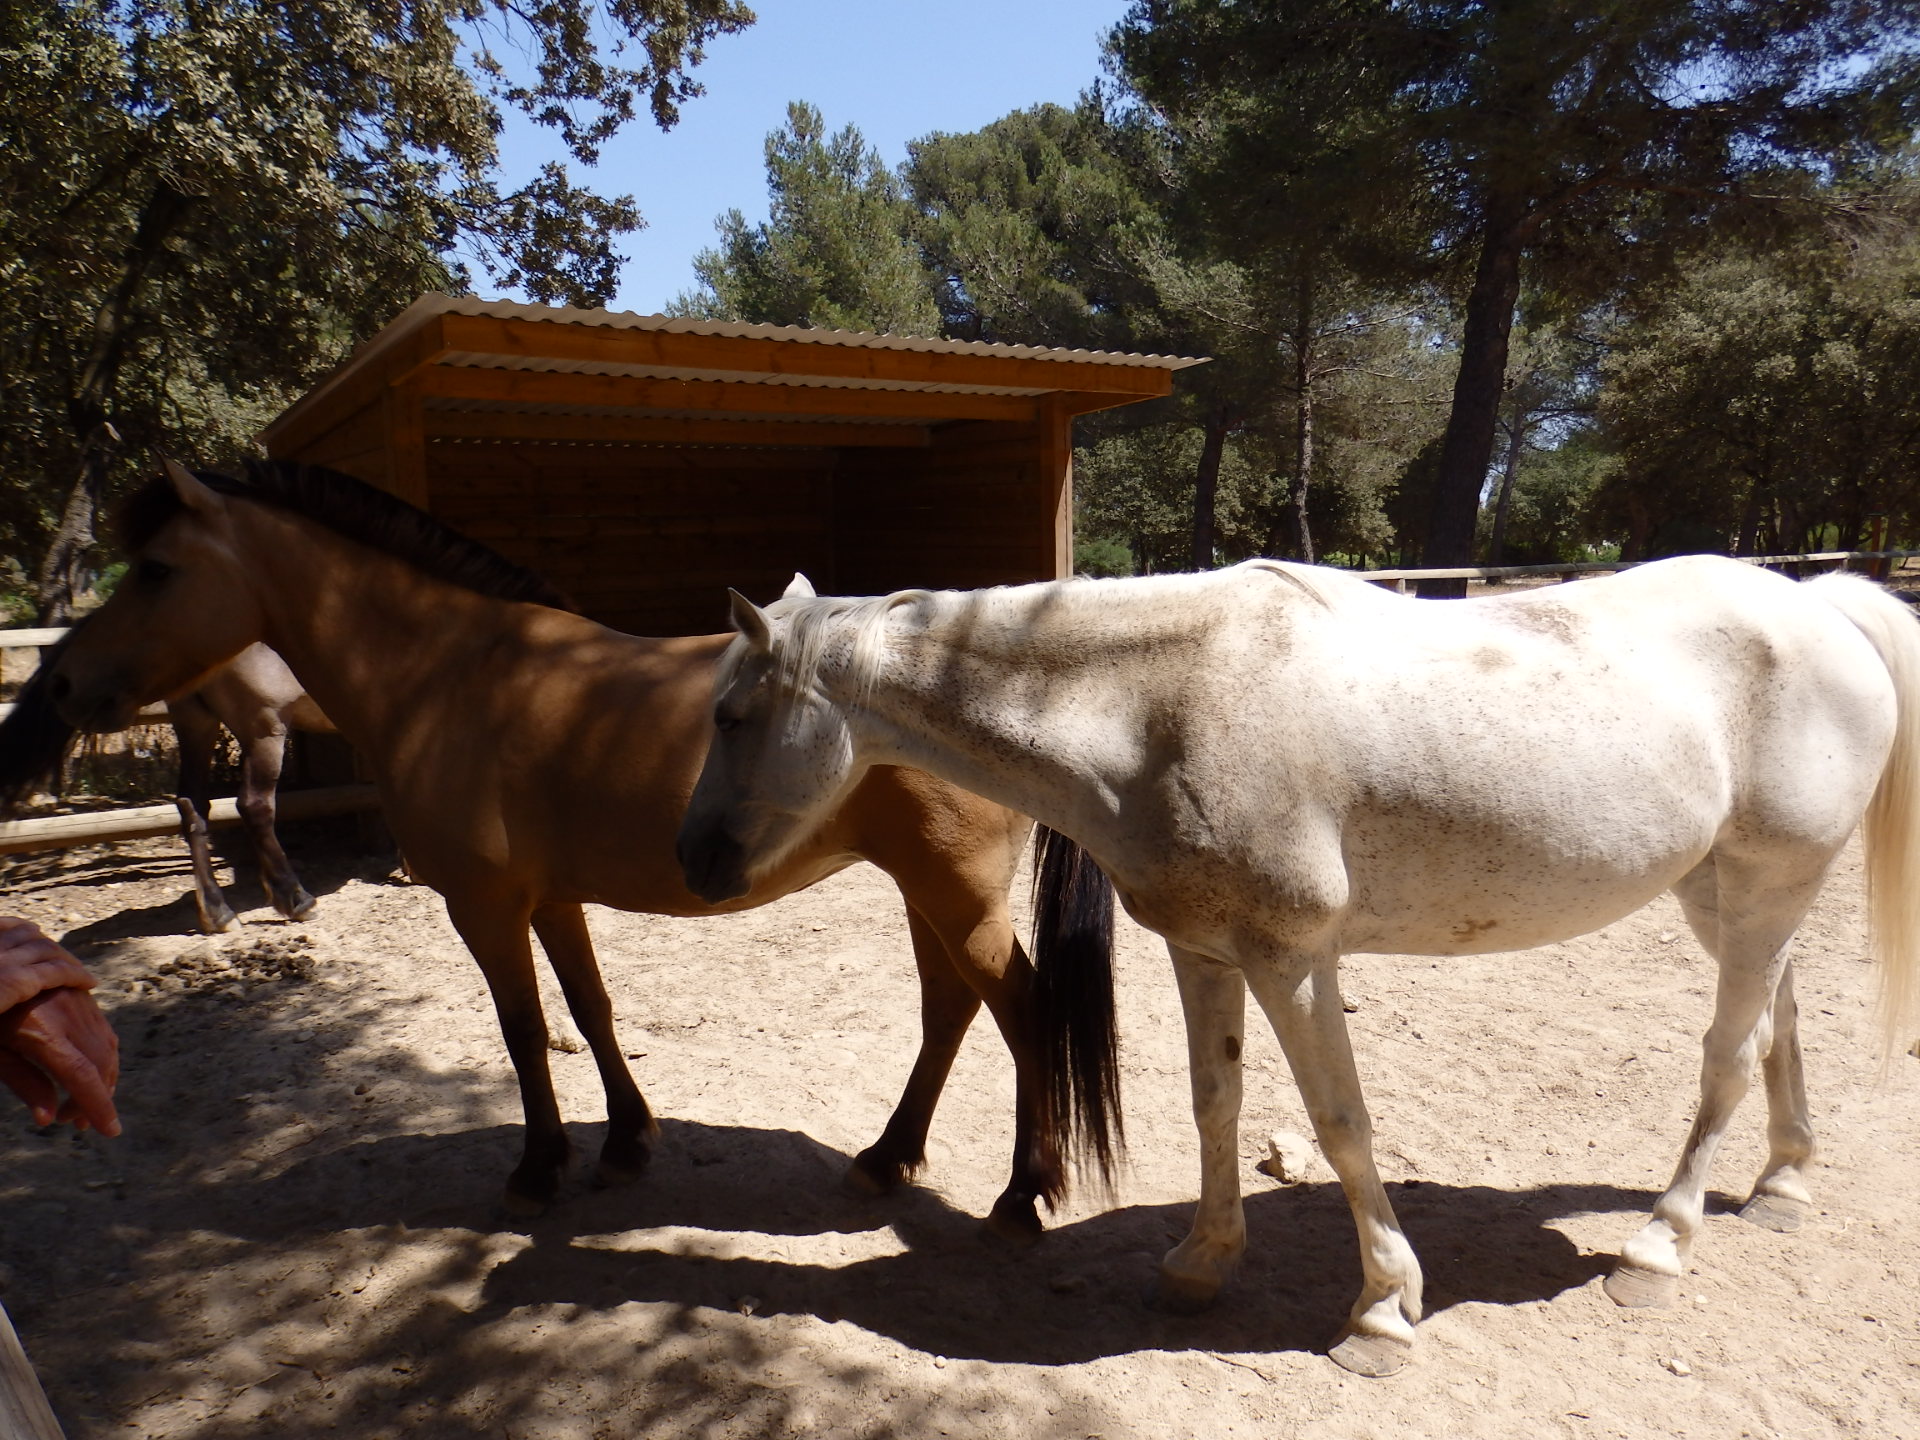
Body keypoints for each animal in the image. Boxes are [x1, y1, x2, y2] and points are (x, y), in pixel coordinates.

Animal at [37, 458, 1121, 1228]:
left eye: (156, 570)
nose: (60, 684)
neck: (445, 673)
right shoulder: (552, 898)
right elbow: (591, 1010)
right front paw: (627, 1142)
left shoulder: (483, 905)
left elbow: (523, 1030)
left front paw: (538, 1166)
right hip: (923, 888)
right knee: (950, 1011)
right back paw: (887, 1159)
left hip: (952, 890)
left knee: (1022, 1012)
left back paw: (1021, 1196)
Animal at [679, 556, 1920, 1382]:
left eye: (733, 713)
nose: (694, 862)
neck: (1164, 702)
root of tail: (1823, 605)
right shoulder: (1202, 950)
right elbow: (1215, 1101)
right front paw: (1199, 1265)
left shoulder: (1295, 959)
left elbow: (1339, 1122)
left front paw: (1381, 1311)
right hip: (1729, 895)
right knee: (1779, 1024)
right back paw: (1783, 1184)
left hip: (1762, 887)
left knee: (1727, 1057)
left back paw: (1660, 1248)